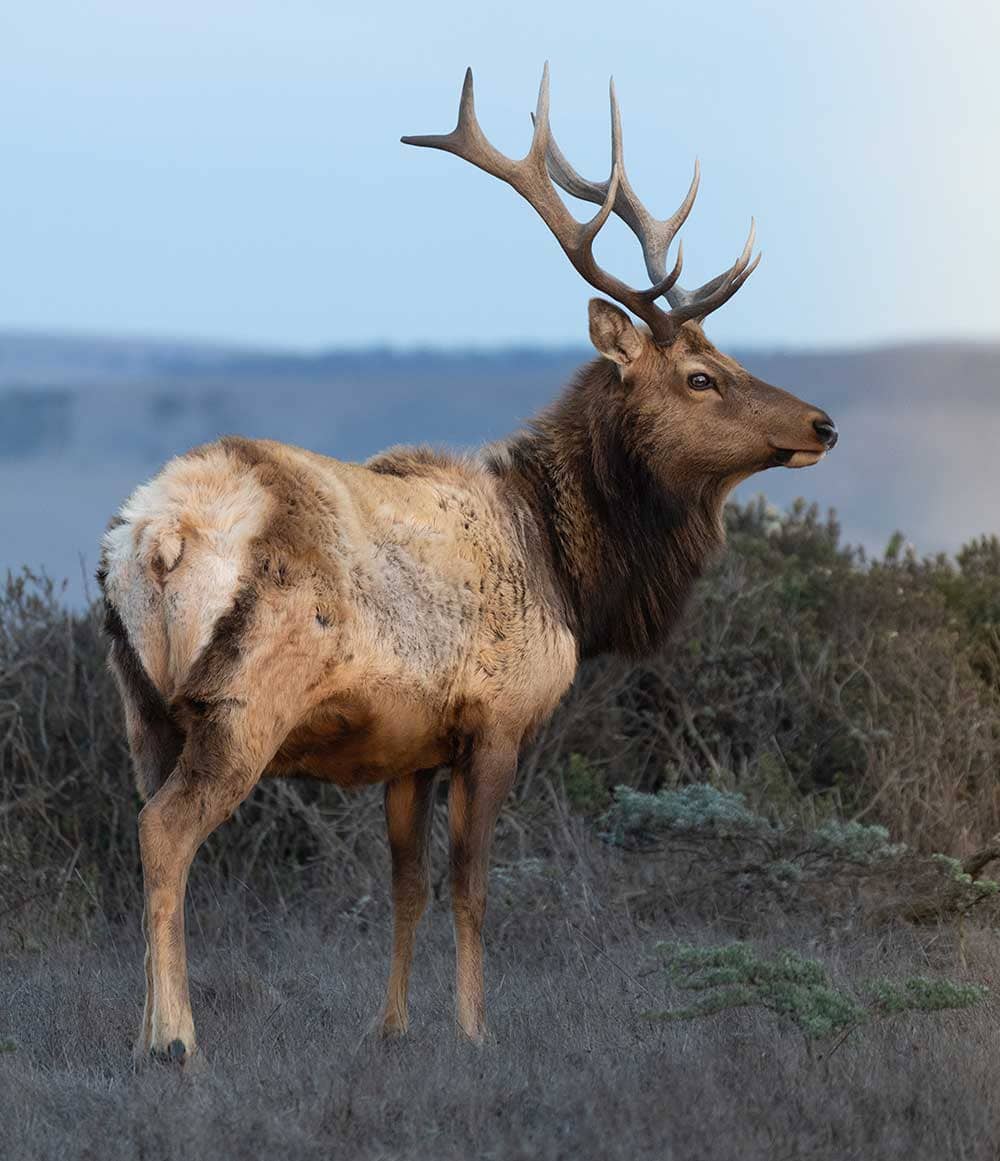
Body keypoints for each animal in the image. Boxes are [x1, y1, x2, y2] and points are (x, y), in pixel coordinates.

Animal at [99, 61, 836, 1063]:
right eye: (701, 377)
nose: (822, 423)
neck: (570, 571)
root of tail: (155, 539)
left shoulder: (408, 744)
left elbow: (407, 885)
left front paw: (393, 1025)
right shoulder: (497, 720)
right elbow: (473, 886)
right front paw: (477, 1031)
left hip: (142, 707)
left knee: (140, 827)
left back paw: (144, 1026)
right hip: (240, 705)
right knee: (167, 832)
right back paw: (175, 1039)